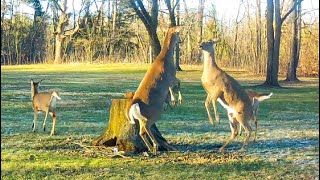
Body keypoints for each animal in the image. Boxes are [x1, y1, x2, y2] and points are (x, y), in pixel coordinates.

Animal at [125, 25, 181, 155]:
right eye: (178, 33)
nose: (180, 41)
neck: (165, 58)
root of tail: (134, 104)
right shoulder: (171, 77)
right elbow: (178, 83)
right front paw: (177, 100)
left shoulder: (171, 80)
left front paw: (173, 101)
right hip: (154, 112)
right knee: (146, 127)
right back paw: (155, 145)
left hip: (141, 118)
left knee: (141, 131)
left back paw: (151, 148)